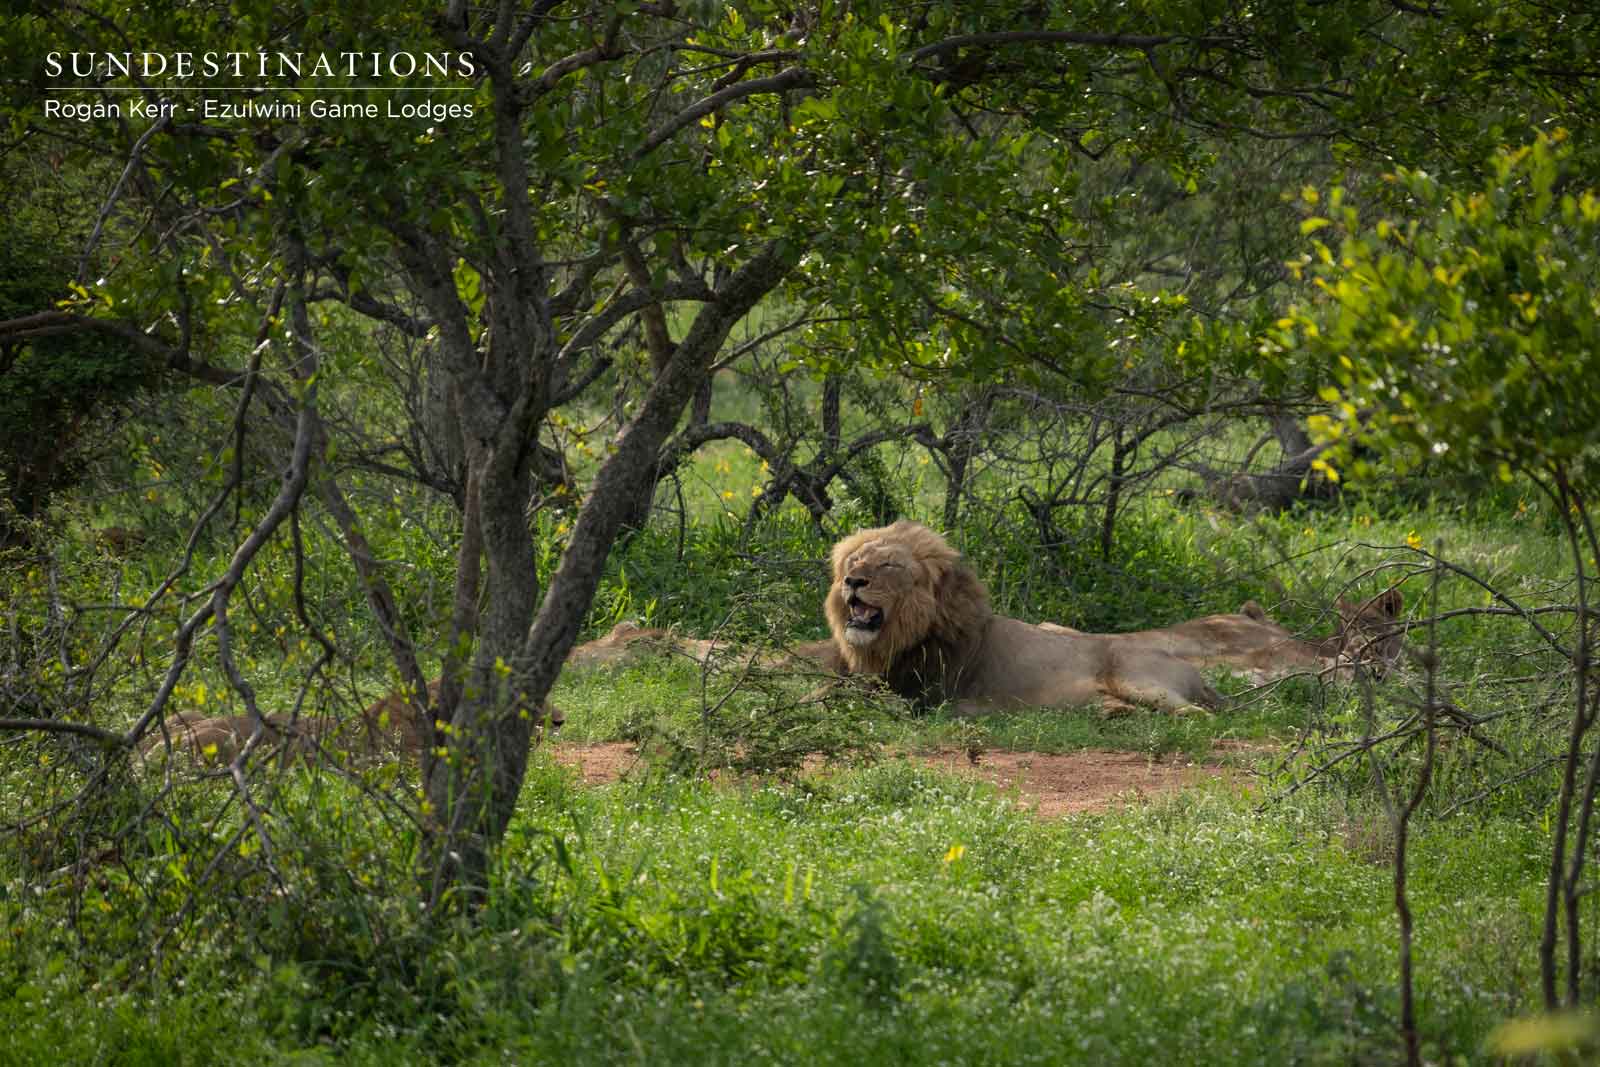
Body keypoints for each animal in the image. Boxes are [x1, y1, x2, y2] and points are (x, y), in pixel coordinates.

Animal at [826, 521, 1222, 714]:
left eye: (888, 565)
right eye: (854, 560)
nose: (853, 580)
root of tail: (1195, 673)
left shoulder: (924, 696)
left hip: (1139, 681)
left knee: (1199, 715)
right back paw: (1112, 713)